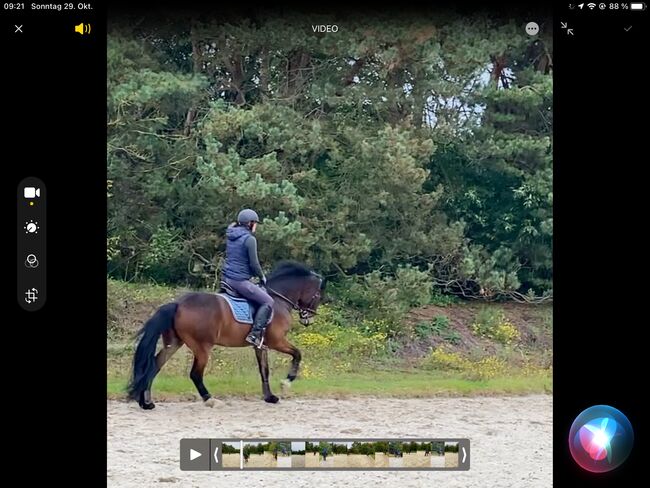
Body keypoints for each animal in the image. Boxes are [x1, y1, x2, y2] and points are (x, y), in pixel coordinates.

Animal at [125, 262, 324, 410]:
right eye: (318, 295)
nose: (308, 318)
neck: (278, 300)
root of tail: (178, 304)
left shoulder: (261, 345)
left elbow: (264, 370)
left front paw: (270, 397)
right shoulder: (277, 341)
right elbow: (297, 354)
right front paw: (286, 382)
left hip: (174, 343)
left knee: (154, 366)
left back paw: (146, 403)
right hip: (202, 347)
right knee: (195, 374)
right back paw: (210, 399)